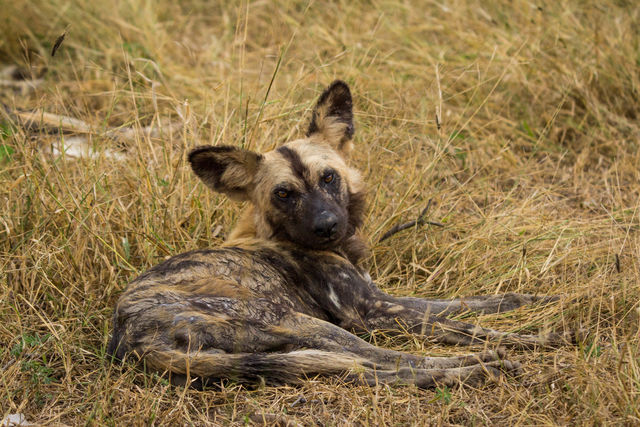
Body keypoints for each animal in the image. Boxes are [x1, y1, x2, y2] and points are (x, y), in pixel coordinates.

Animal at [107, 81, 572, 392]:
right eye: (284, 194)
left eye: (328, 177)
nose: (328, 226)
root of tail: (131, 332)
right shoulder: (372, 311)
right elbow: (467, 325)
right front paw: (538, 338)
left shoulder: (385, 299)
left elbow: (478, 303)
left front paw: (546, 302)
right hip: (302, 324)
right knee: (390, 360)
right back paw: (474, 368)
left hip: (283, 346)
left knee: (364, 369)